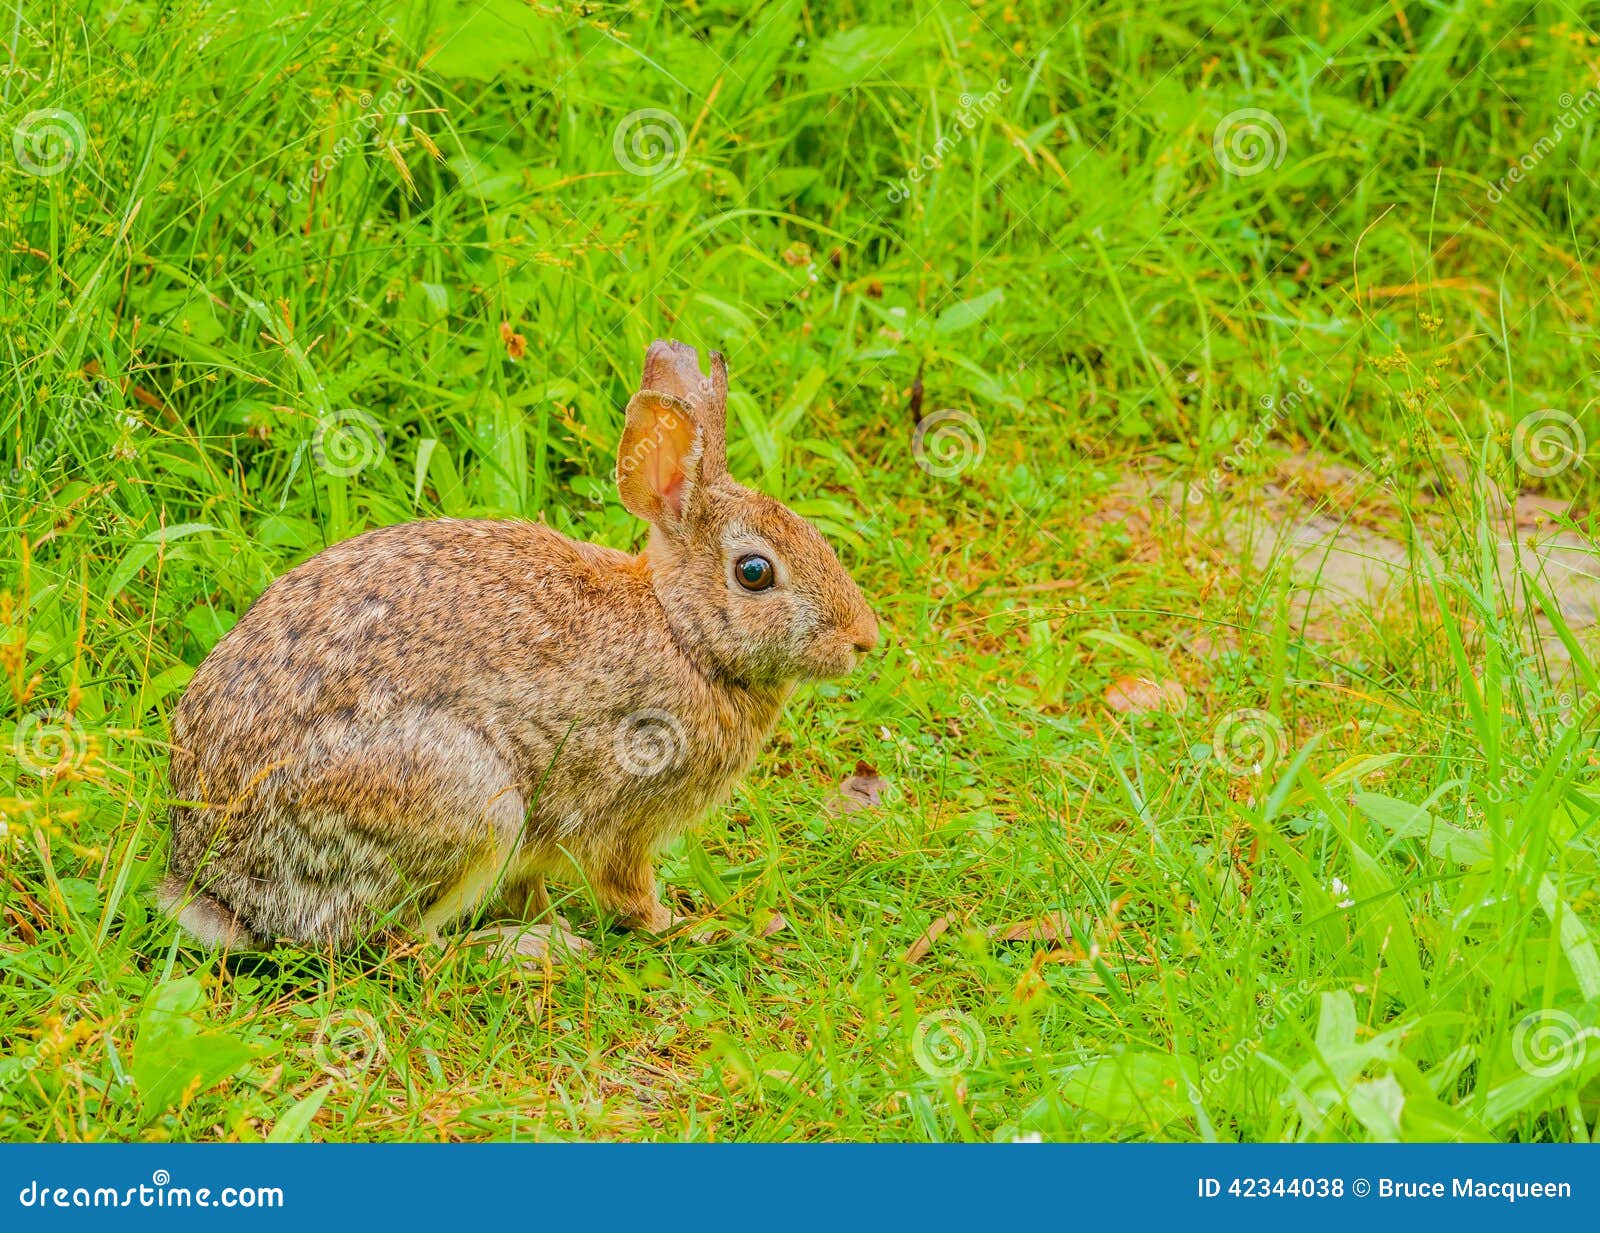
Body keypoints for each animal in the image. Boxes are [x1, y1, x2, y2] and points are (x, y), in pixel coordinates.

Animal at [162, 342, 876, 959]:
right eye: (755, 573)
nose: (864, 641)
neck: (684, 632)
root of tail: (218, 885)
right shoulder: (626, 810)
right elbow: (626, 888)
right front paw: (684, 926)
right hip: (466, 802)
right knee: (399, 945)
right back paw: (527, 951)